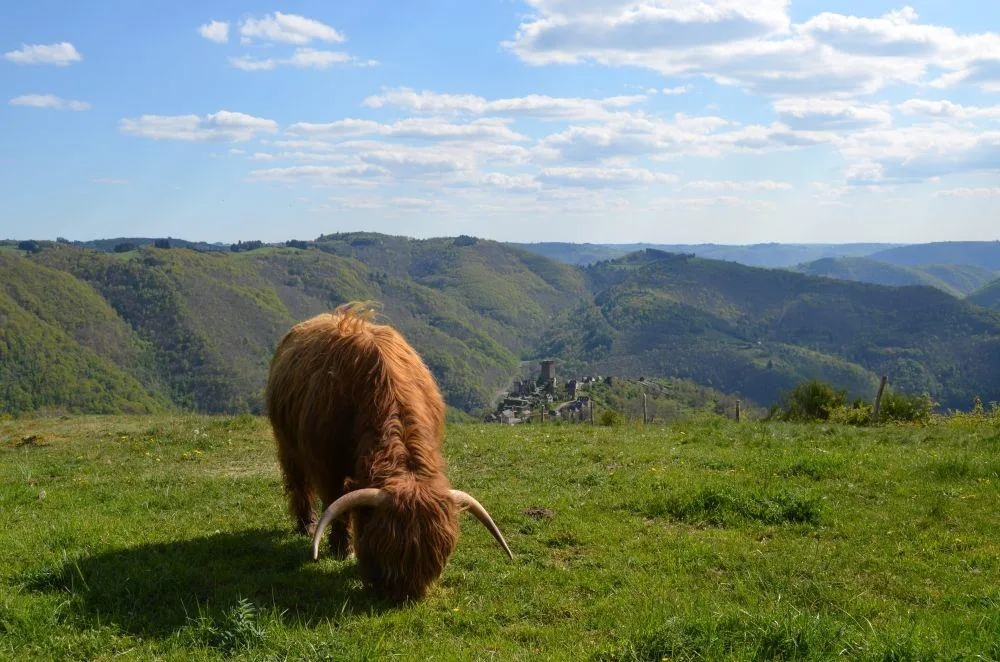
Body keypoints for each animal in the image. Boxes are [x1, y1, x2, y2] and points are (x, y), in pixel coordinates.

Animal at [266, 304, 512, 604]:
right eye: (384, 551)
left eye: (435, 559)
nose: (404, 595)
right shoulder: (326, 464)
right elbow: (335, 502)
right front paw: (341, 549)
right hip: (287, 443)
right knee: (298, 482)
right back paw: (306, 525)